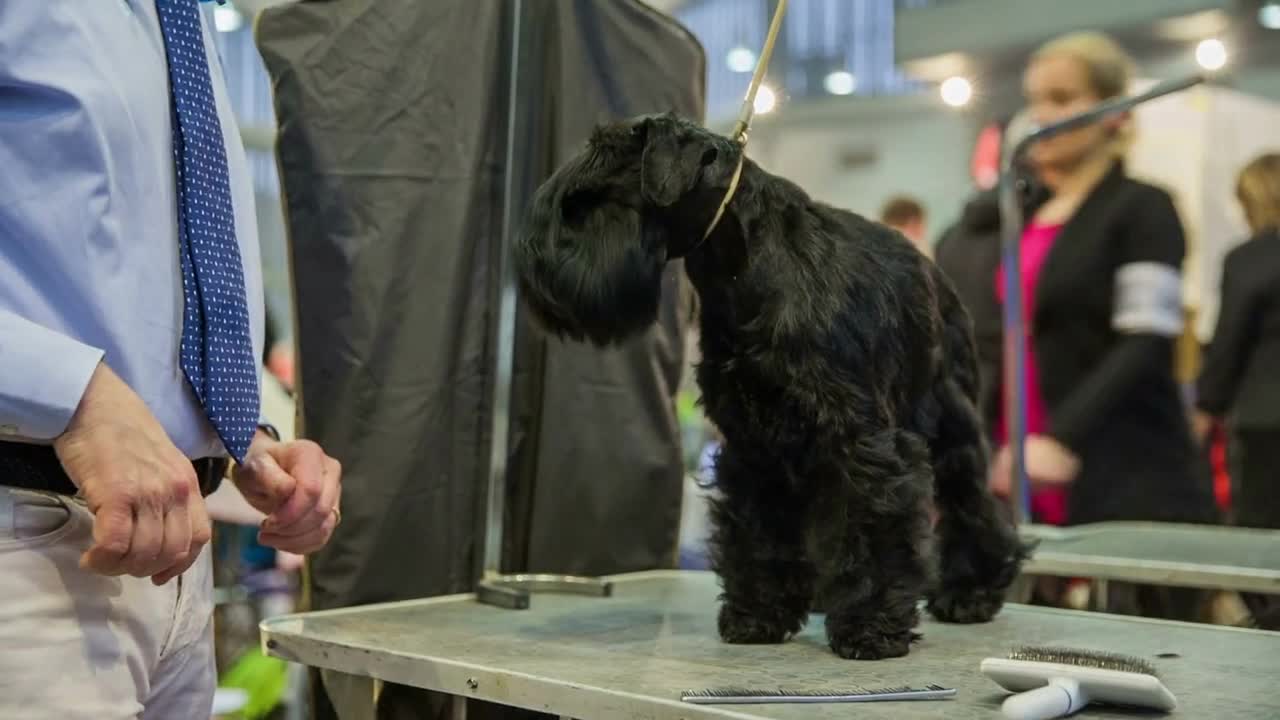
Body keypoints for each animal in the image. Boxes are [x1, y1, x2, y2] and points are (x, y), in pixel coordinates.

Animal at [514, 110, 1024, 655]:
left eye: (590, 197)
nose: (527, 257)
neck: (743, 270)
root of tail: (936, 274)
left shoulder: (864, 441)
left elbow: (873, 526)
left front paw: (870, 626)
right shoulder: (753, 444)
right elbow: (760, 532)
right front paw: (759, 614)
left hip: (953, 426)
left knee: (972, 504)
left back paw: (970, 593)